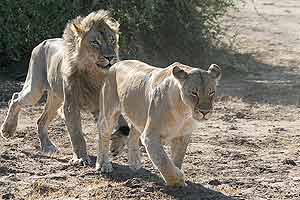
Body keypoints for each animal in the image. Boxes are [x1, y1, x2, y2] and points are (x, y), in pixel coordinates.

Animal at [0, 9, 129, 164]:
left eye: (112, 40)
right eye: (95, 42)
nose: (110, 57)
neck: (95, 75)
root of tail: (44, 41)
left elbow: (125, 127)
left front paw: (115, 147)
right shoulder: (70, 105)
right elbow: (77, 133)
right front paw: (80, 158)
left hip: (55, 99)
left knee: (41, 120)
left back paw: (48, 146)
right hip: (35, 89)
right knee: (15, 98)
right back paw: (8, 130)